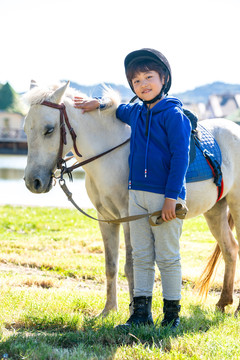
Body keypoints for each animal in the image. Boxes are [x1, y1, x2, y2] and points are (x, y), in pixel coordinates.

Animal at [23, 81, 240, 316]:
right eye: (25, 129)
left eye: (49, 129)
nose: (33, 182)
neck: (109, 155)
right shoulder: (107, 219)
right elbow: (111, 265)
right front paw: (109, 310)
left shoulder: (130, 218)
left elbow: (132, 265)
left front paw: (135, 311)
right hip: (215, 210)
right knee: (229, 249)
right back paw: (223, 302)